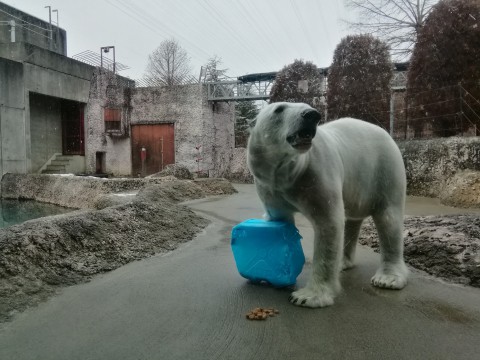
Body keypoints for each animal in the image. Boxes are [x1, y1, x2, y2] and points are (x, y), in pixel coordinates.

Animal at [248, 102, 408, 308]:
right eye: (279, 109)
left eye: (306, 106)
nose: (311, 115)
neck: (289, 174)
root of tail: (385, 133)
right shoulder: (270, 188)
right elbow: (280, 221)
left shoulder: (316, 174)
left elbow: (328, 223)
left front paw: (308, 296)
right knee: (352, 219)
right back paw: (343, 262)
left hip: (385, 169)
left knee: (388, 219)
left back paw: (388, 278)